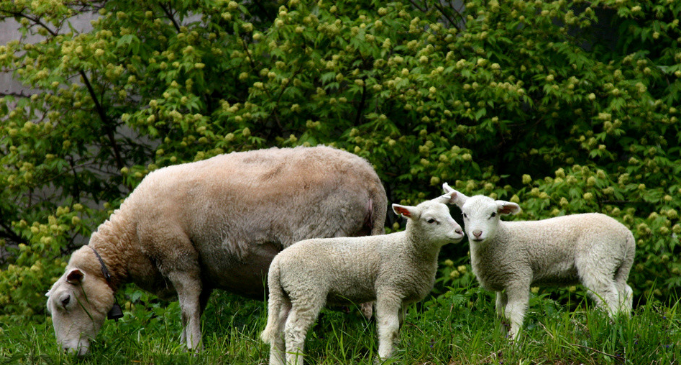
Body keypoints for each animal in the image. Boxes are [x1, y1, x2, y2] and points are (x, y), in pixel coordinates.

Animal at [46, 146, 388, 356]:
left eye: (65, 301)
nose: (67, 354)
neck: (130, 235)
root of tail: (372, 182)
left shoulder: (178, 259)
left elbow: (186, 311)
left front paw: (193, 350)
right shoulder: (201, 272)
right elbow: (194, 310)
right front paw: (186, 346)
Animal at [258, 192, 462, 362]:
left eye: (449, 213)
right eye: (431, 220)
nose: (460, 231)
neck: (408, 249)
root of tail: (277, 262)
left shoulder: (403, 295)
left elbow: (399, 328)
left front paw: (395, 357)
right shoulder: (389, 288)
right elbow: (389, 327)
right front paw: (383, 358)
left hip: (288, 293)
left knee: (278, 331)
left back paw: (277, 362)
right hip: (306, 289)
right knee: (294, 330)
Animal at [444, 182, 636, 338]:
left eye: (492, 214)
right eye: (464, 214)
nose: (477, 233)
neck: (501, 238)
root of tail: (627, 235)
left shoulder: (518, 274)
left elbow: (513, 311)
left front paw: (514, 342)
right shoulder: (503, 280)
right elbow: (500, 312)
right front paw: (500, 338)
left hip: (598, 258)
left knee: (609, 296)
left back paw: (610, 327)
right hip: (618, 265)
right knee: (625, 292)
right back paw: (625, 323)